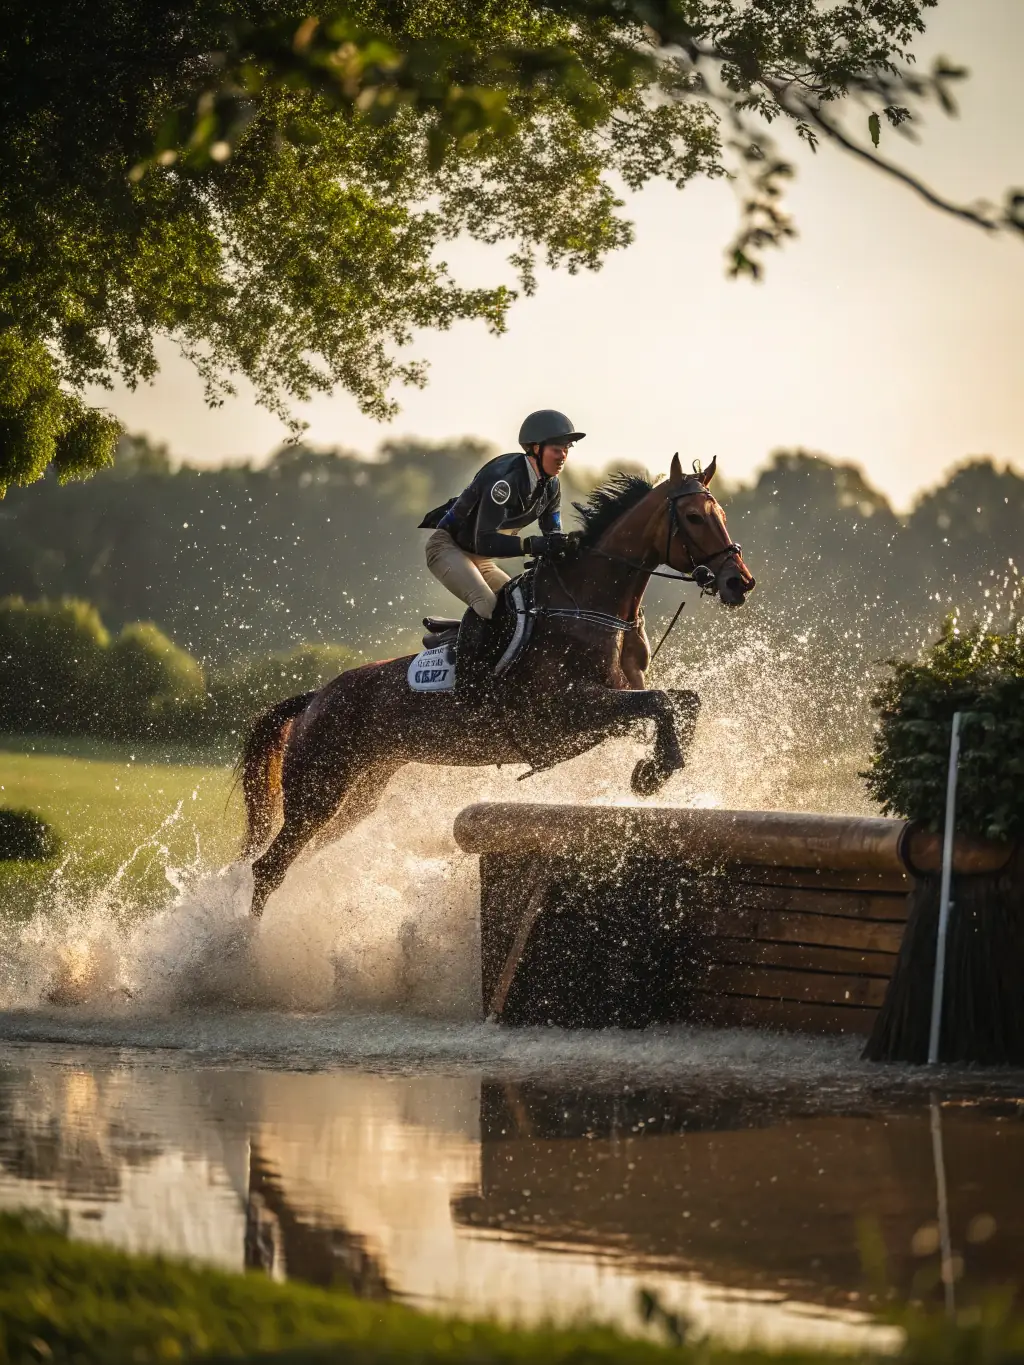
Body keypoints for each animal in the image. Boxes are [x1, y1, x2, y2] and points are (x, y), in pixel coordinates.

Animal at [240, 453, 755, 917]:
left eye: (722, 516)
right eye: (693, 517)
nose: (739, 583)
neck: (591, 607)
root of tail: (316, 699)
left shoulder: (607, 712)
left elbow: (681, 700)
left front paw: (656, 767)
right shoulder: (564, 712)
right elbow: (661, 702)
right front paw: (655, 772)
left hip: (359, 793)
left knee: (296, 858)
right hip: (318, 792)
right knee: (268, 868)